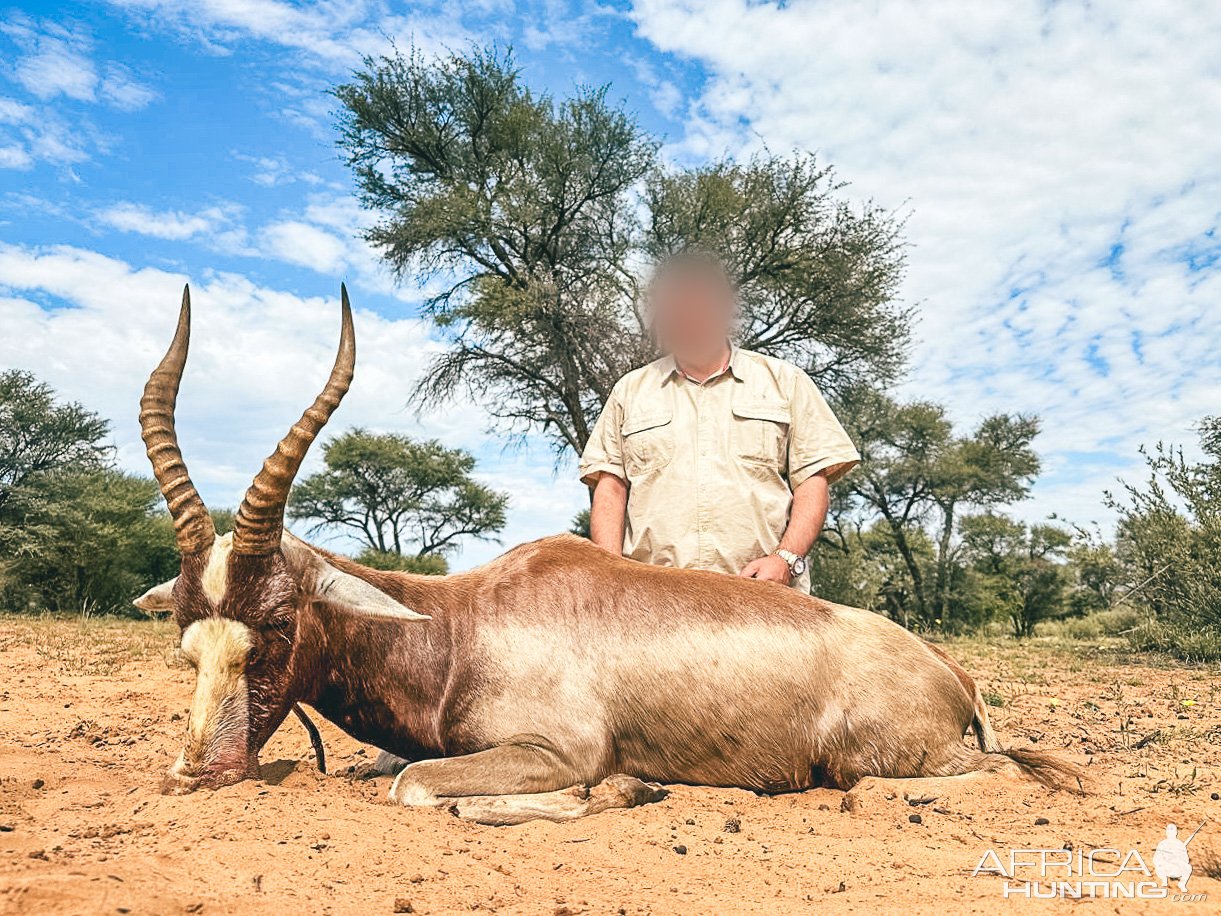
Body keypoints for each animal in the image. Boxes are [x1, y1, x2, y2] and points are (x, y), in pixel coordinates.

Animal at [136, 285, 1079, 825]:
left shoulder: (556, 749)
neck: (460, 622)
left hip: (883, 760)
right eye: (186, 638)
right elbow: (395, 769)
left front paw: (625, 789)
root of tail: (951, 671)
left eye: (275, 621)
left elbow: (419, 787)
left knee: (986, 776)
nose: (195, 773)